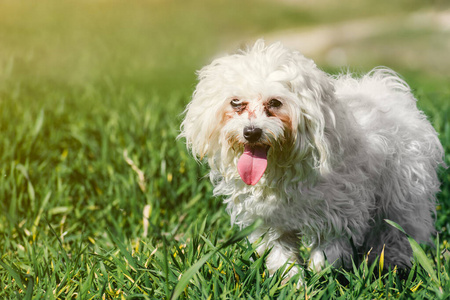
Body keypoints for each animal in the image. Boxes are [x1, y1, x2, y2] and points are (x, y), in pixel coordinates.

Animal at [179, 39, 442, 282]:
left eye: (275, 103)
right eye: (236, 103)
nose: (251, 132)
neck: (281, 168)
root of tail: (385, 86)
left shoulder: (336, 214)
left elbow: (327, 253)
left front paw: (321, 278)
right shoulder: (271, 224)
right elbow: (281, 256)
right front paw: (292, 283)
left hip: (402, 195)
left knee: (398, 230)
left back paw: (392, 264)